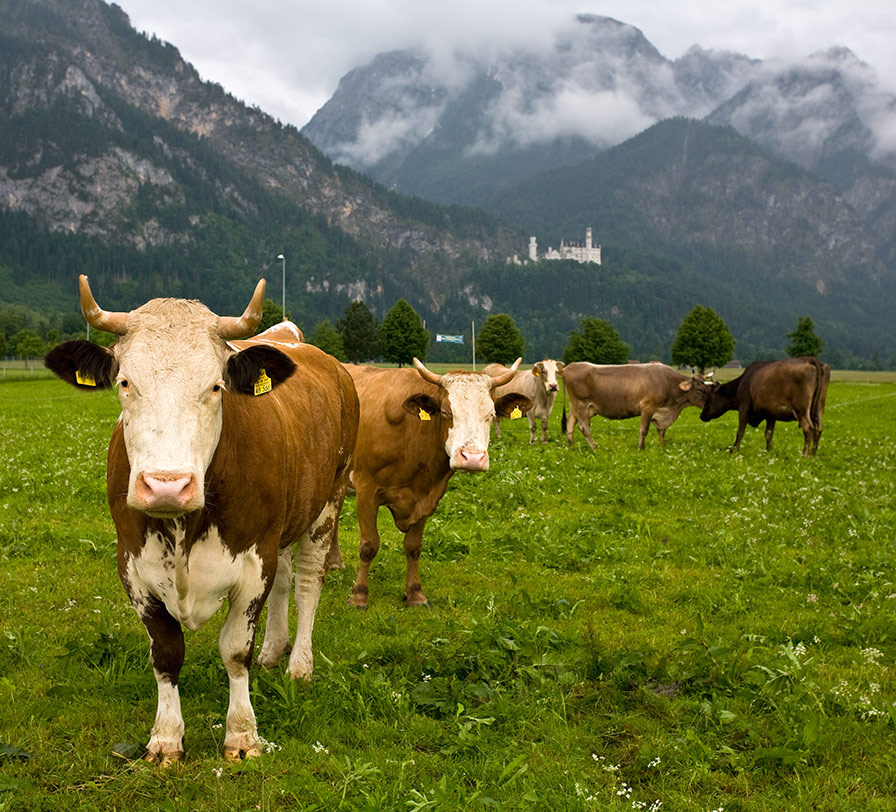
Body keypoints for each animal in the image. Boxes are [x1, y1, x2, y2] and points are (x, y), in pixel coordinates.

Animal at [44, 276, 359, 764]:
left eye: (215, 387)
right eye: (124, 382)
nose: (166, 486)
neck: (182, 529)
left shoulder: (254, 560)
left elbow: (234, 650)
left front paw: (242, 735)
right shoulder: (132, 566)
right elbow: (166, 653)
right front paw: (165, 739)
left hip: (329, 501)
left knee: (308, 582)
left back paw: (299, 665)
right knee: (286, 581)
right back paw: (274, 651)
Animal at [342, 359, 532, 609]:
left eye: (491, 414)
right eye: (446, 412)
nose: (472, 458)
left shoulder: (425, 496)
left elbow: (413, 547)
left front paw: (415, 593)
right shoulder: (366, 491)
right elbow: (369, 545)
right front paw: (359, 595)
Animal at [560, 362, 710, 449]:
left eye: (709, 388)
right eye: (699, 390)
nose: (707, 406)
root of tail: (570, 366)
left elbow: (661, 431)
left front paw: (662, 447)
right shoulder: (647, 407)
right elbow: (644, 430)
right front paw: (641, 448)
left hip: (579, 407)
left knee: (570, 423)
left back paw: (571, 446)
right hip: (581, 404)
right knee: (583, 427)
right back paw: (594, 447)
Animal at [699, 356, 830, 456]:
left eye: (709, 397)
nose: (702, 415)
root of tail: (810, 359)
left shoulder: (743, 407)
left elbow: (740, 431)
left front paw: (734, 449)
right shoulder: (771, 414)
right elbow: (768, 434)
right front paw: (768, 452)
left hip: (801, 409)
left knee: (808, 429)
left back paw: (804, 455)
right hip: (819, 408)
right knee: (818, 429)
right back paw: (813, 455)